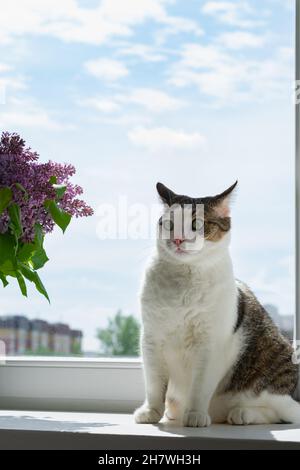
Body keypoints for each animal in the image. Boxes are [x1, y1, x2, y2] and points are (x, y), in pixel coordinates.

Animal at [134, 182, 300, 428]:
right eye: (169, 224)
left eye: (197, 224)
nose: (178, 239)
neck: (184, 281)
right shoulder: (152, 339)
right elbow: (154, 384)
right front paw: (151, 411)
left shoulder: (211, 345)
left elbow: (200, 386)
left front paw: (195, 414)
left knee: (284, 414)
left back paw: (242, 414)